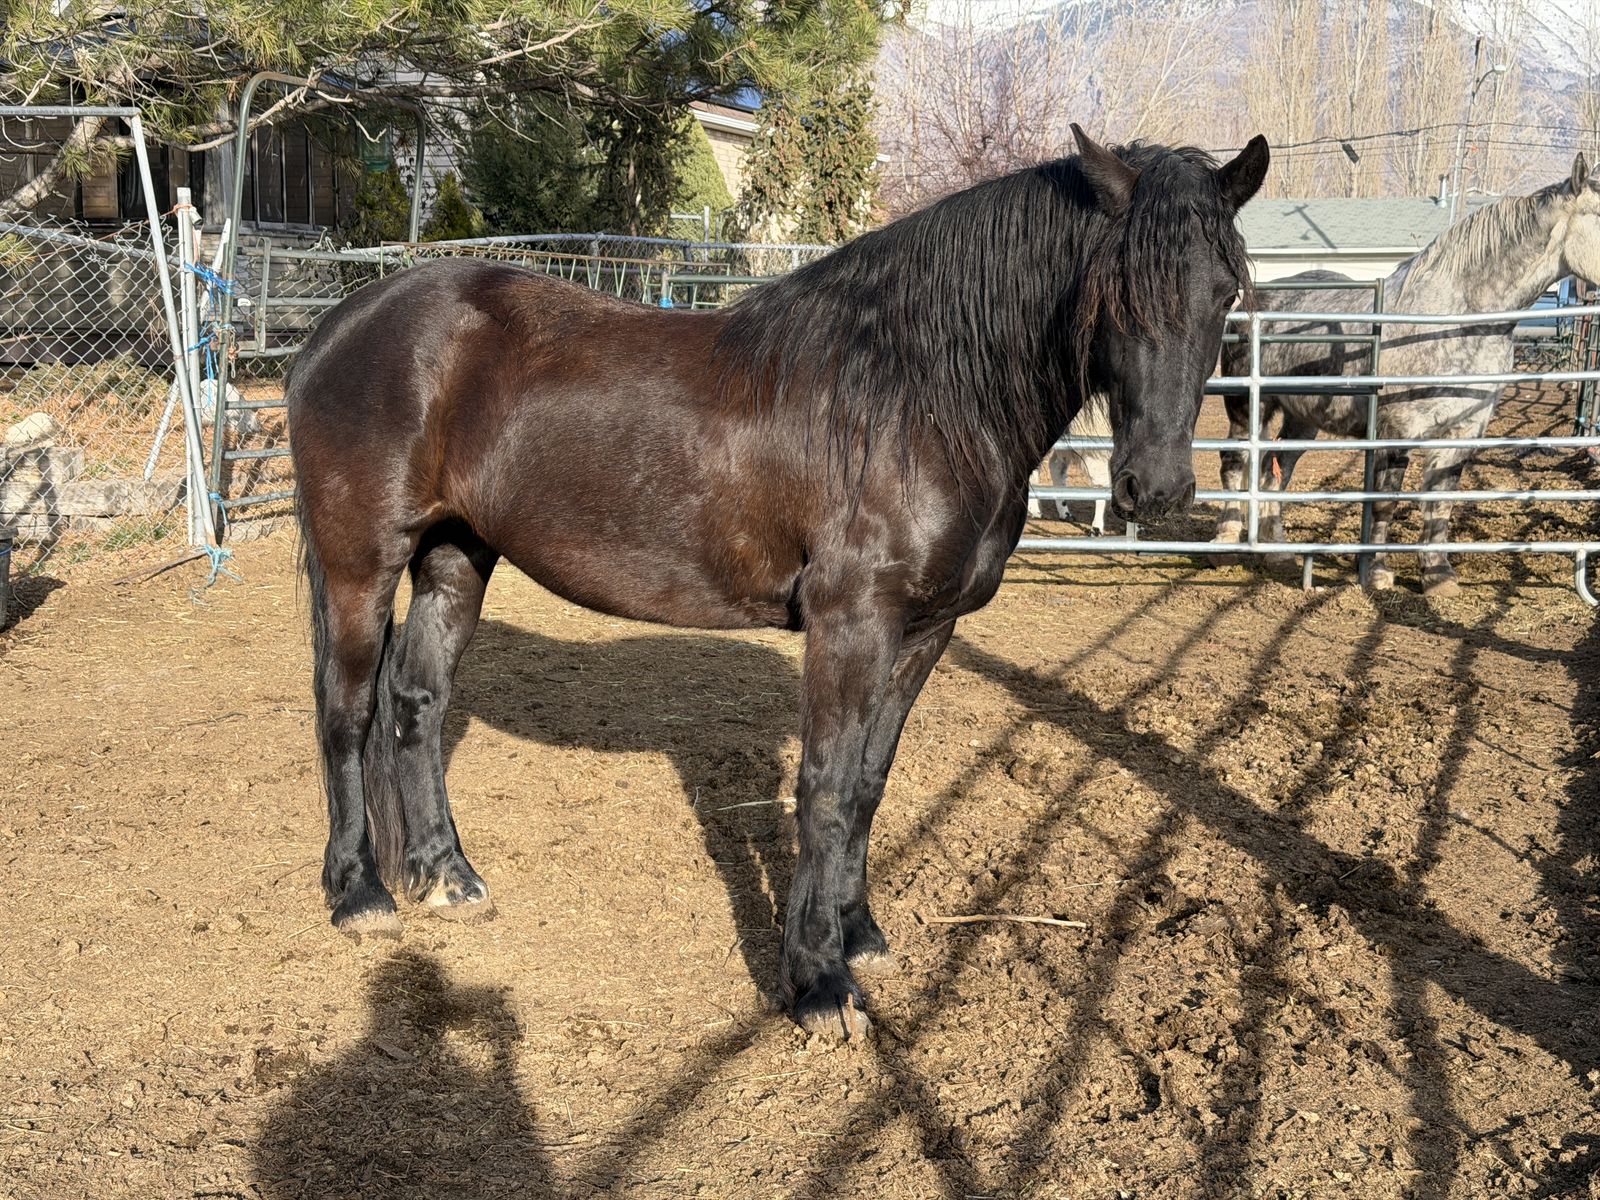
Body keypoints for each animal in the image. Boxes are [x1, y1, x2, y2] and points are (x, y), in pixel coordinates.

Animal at [1214, 155, 1600, 595]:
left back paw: (1277, 553)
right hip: (1248, 407)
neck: (1452, 320)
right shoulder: (1394, 433)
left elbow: (1440, 502)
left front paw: (1438, 575)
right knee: (1235, 461)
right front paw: (1377, 573)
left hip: (1302, 418)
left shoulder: (1462, 432)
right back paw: (1224, 542)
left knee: (1273, 467)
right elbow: (1384, 503)